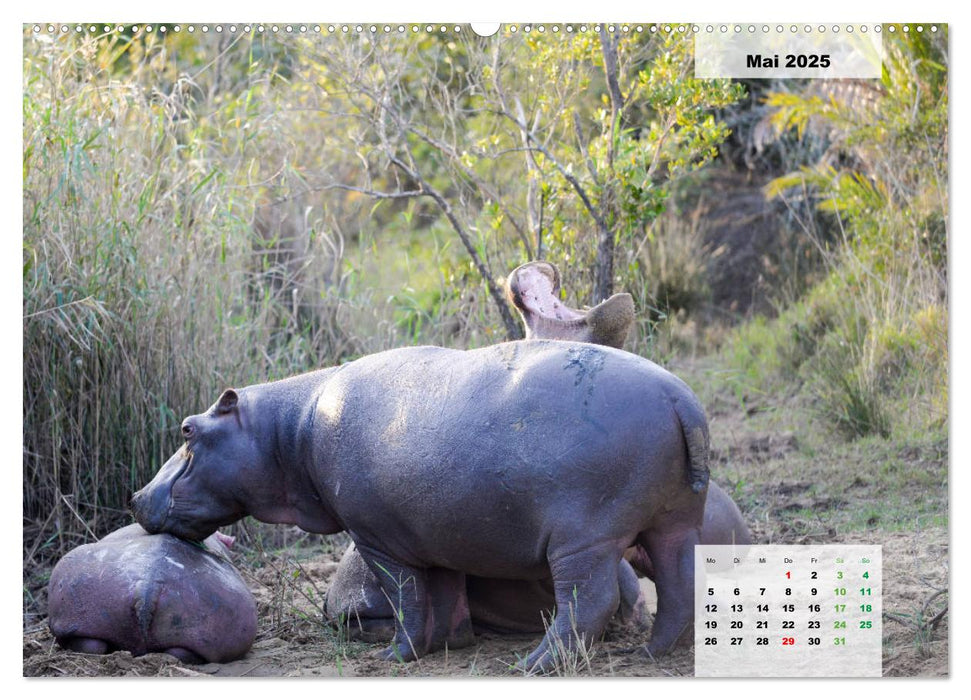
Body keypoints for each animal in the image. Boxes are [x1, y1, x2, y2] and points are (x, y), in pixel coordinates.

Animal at [133, 342, 712, 668]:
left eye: (188, 429)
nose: (136, 496)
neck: (288, 428)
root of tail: (679, 397)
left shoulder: (376, 539)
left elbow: (407, 598)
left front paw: (395, 657)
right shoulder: (442, 535)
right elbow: (446, 594)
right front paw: (452, 645)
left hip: (584, 539)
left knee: (587, 603)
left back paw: (531, 666)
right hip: (674, 522)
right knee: (680, 585)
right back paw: (652, 653)